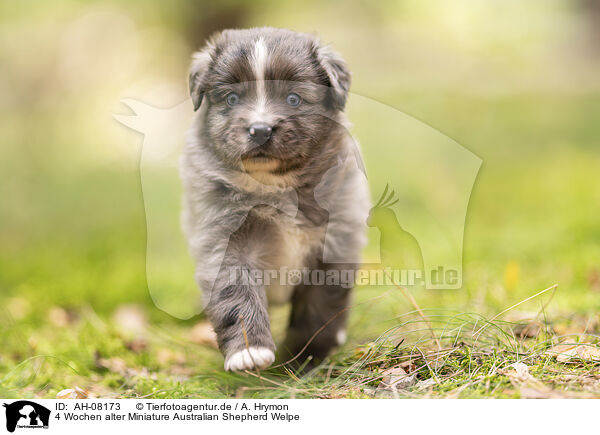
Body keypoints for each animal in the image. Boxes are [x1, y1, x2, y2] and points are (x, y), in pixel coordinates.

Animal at [182, 27, 370, 372]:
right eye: (231, 99)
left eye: (293, 98)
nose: (260, 130)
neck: (274, 184)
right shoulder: (224, 238)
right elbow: (235, 290)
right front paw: (249, 351)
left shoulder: (335, 238)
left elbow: (321, 301)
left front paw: (306, 355)